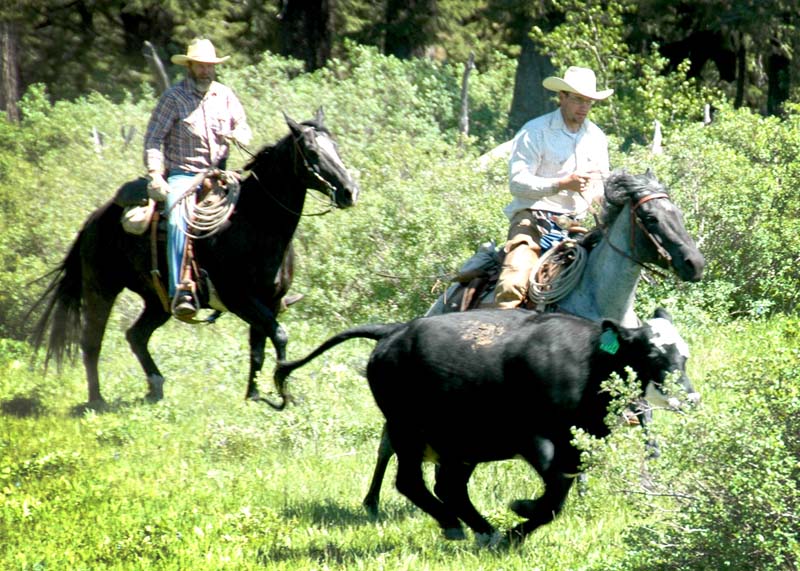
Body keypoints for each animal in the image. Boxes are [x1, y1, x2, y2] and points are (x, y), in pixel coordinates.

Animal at [28, 110, 360, 406]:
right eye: (311, 151)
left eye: (336, 147)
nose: (349, 191)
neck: (254, 224)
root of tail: (94, 219)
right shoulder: (240, 298)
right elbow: (279, 336)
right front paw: (284, 392)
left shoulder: (270, 300)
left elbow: (258, 347)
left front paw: (253, 396)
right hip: (101, 289)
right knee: (91, 341)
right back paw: (97, 399)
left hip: (157, 300)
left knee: (136, 335)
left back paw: (155, 387)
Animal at [276, 310, 700, 548]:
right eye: (651, 352)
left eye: (684, 353)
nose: (690, 397)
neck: (586, 362)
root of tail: (394, 332)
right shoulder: (535, 439)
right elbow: (553, 494)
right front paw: (522, 512)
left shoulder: (575, 445)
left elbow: (559, 494)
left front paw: (515, 531)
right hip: (407, 430)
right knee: (411, 482)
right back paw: (455, 525)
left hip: (457, 445)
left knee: (449, 488)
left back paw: (484, 531)